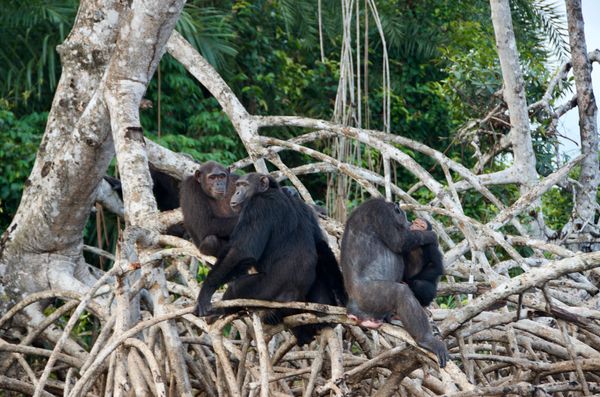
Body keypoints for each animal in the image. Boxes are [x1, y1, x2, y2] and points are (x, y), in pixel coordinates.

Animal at [340, 196, 448, 366]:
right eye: (405, 217)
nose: (410, 223)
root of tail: (353, 311)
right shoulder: (381, 213)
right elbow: (400, 242)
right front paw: (431, 235)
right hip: (370, 297)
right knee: (401, 293)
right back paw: (427, 340)